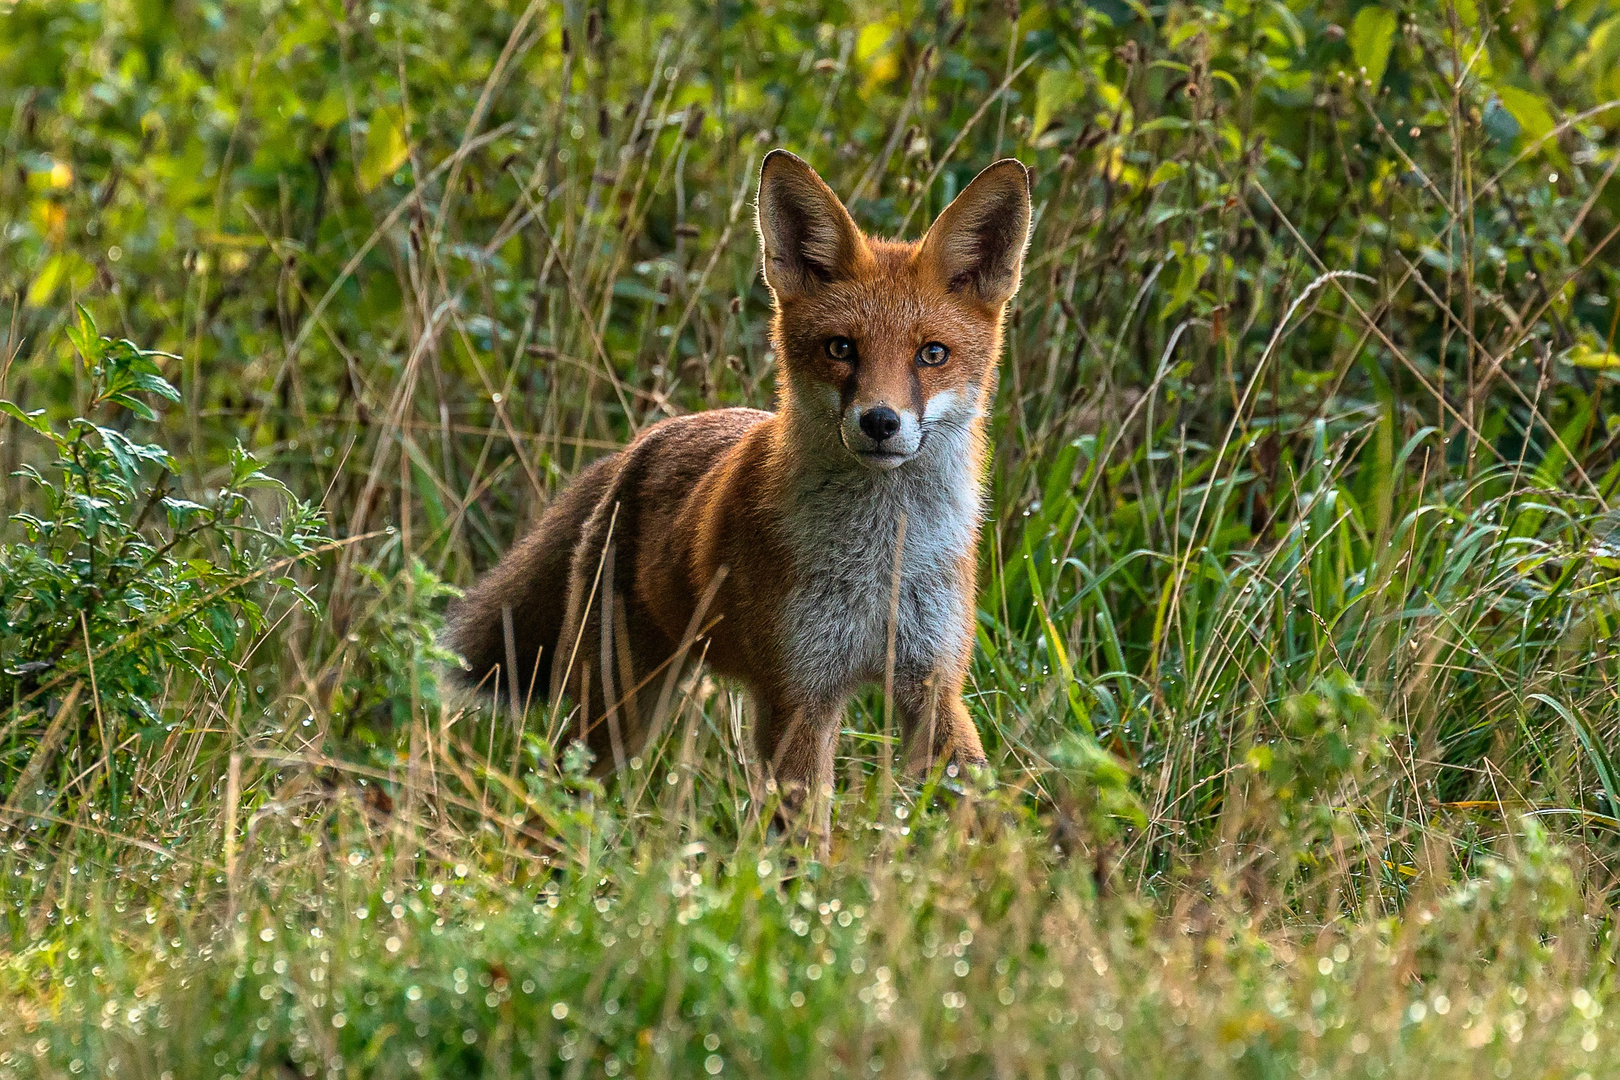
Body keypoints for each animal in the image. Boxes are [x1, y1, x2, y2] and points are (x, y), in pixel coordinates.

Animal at [447, 148, 1023, 835]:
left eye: (932, 354)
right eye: (840, 348)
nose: (880, 422)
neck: (881, 560)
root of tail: (643, 442)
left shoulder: (931, 679)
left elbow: (982, 805)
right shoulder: (800, 695)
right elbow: (806, 842)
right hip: (615, 708)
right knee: (554, 788)